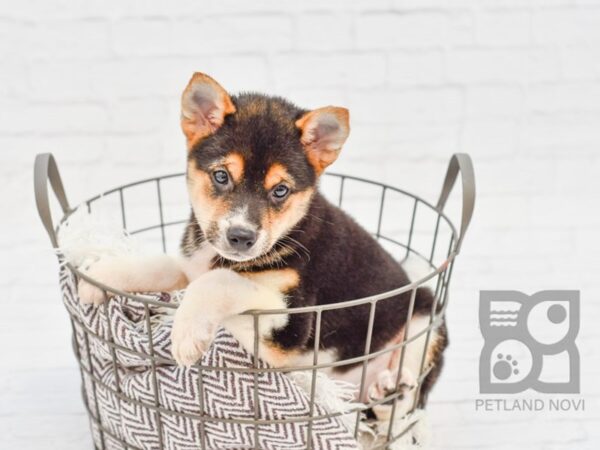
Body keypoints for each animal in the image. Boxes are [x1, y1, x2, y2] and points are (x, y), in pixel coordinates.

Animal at [78, 72, 446, 414]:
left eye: (280, 190)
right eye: (221, 176)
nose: (241, 237)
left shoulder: (290, 326)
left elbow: (221, 281)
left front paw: (187, 332)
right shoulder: (190, 262)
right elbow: (160, 265)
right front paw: (100, 275)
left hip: (425, 318)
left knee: (405, 404)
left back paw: (391, 389)